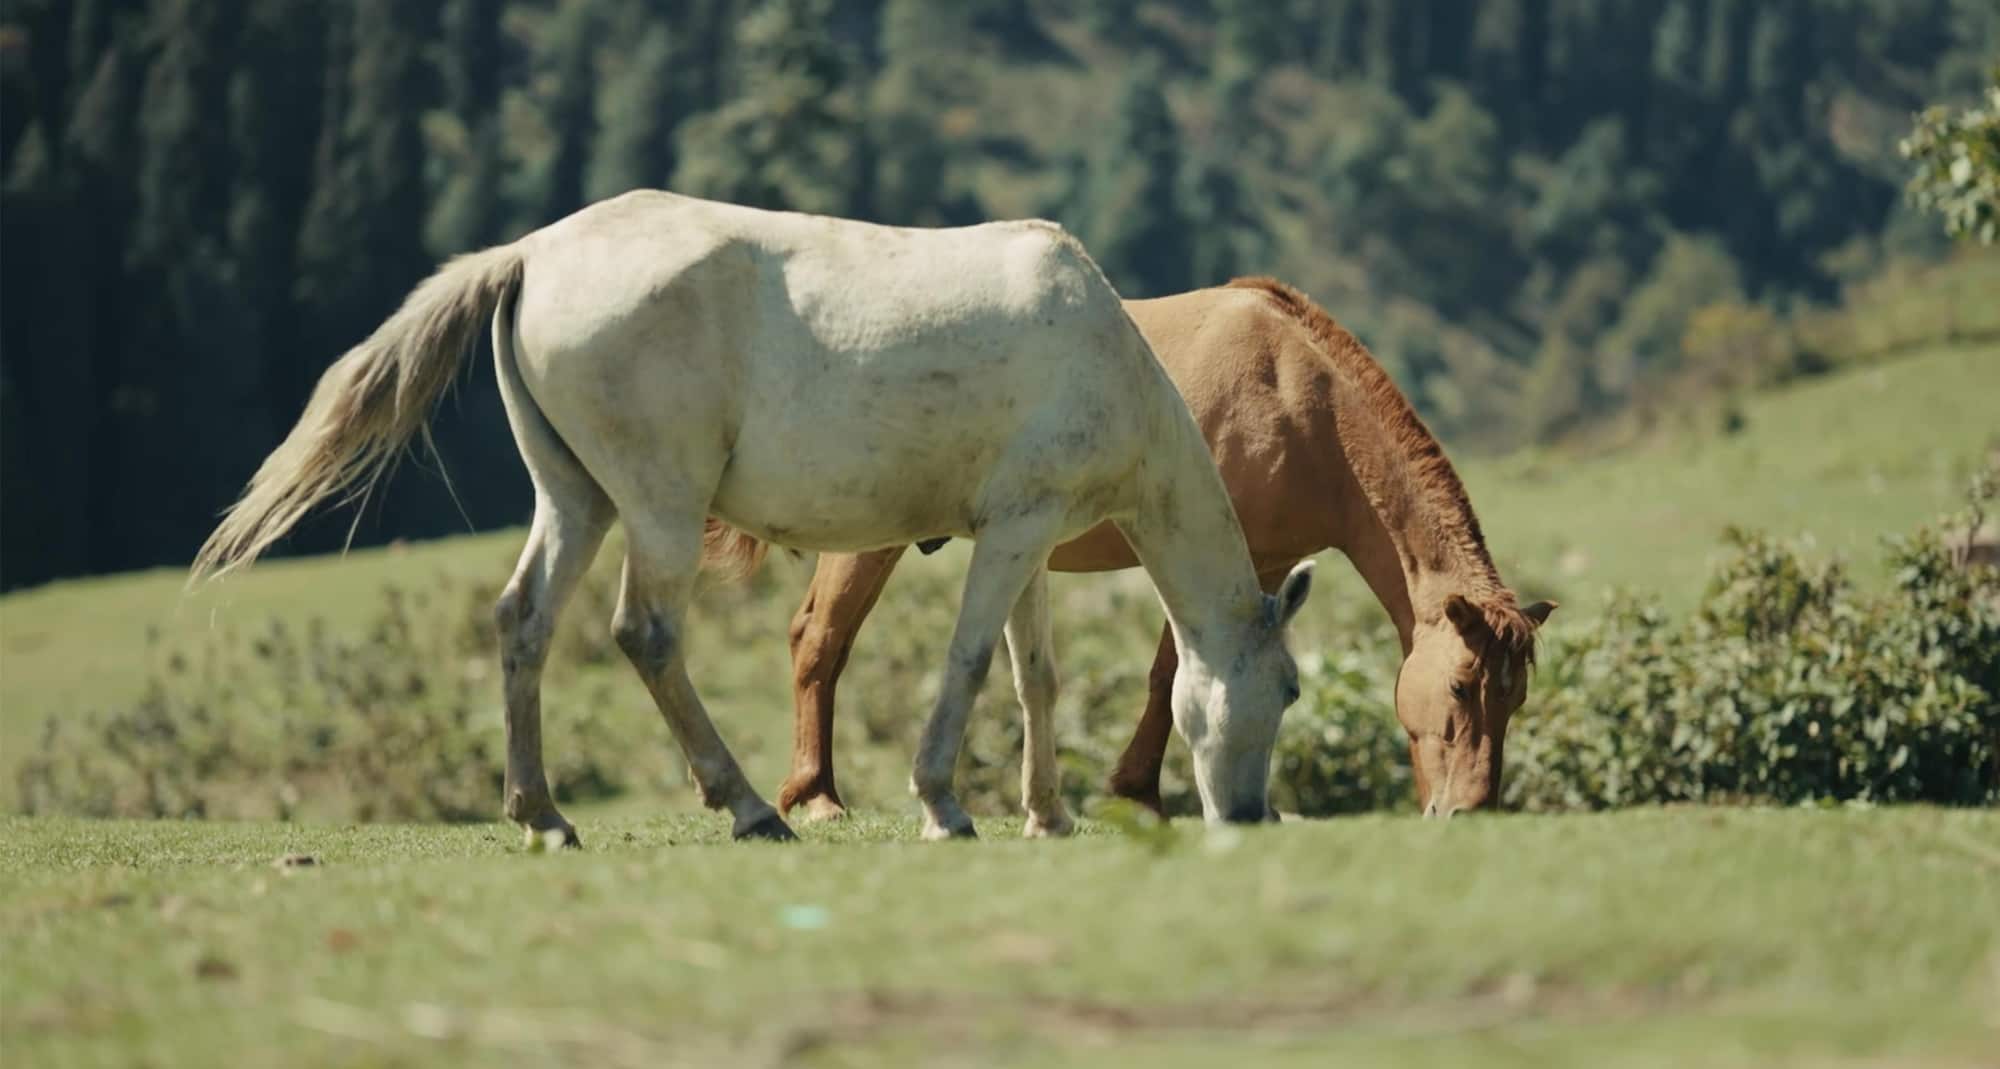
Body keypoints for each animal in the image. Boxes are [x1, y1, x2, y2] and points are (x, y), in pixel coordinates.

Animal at [190, 191, 1313, 845]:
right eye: (1292, 687)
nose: (1249, 816)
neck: (1101, 344)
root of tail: (532, 253)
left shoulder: (1028, 536)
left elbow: (1033, 674)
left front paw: (1047, 813)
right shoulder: (1011, 532)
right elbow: (969, 664)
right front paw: (944, 804)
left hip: (576, 501)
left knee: (523, 624)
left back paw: (543, 815)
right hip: (658, 506)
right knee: (645, 633)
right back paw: (744, 808)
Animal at [774, 277, 1555, 823]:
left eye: (1514, 697)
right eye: (1460, 688)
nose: (1470, 810)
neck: (1302, 401)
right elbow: (1168, 677)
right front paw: (1138, 795)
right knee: (820, 641)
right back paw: (817, 797)